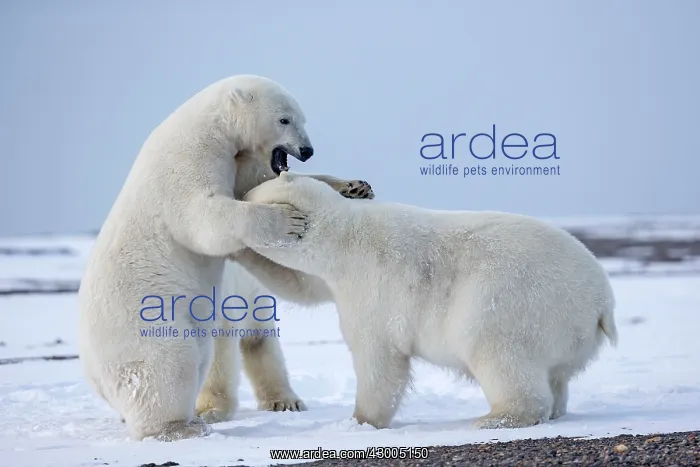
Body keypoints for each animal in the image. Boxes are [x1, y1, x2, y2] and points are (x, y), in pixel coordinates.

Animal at [77, 74, 373, 442]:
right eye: (284, 119)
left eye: (301, 119)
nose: (307, 151)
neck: (210, 128)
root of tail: (92, 372)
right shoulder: (187, 165)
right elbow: (205, 217)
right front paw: (288, 220)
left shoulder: (236, 161)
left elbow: (253, 185)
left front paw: (354, 186)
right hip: (144, 326)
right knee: (166, 368)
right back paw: (183, 426)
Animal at [230, 171, 619, 430]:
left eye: (248, 195)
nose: (238, 196)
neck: (345, 233)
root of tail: (602, 302)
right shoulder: (333, 278)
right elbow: (299, 285)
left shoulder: (369, 284)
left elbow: (379, 358)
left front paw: (360, 421)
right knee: (556, 376)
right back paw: (554, 408)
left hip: (513, 303)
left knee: (495, 350)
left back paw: (495, 417)